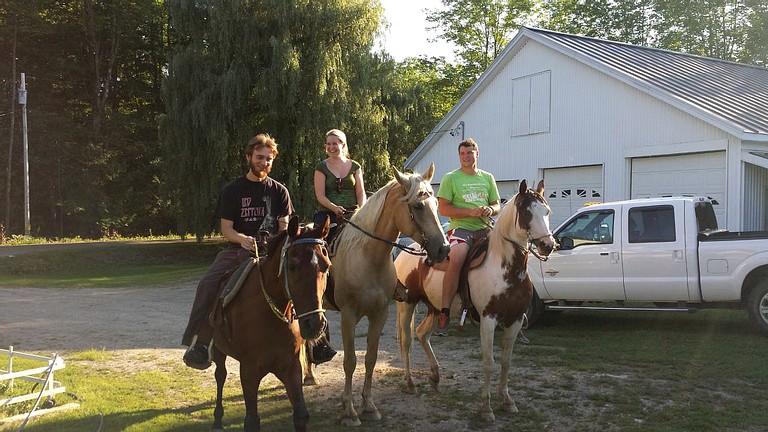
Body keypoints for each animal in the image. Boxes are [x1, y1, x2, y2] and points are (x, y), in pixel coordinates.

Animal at [210, 216, 330, 432]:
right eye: (292, 266)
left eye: (326, 266)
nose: (314, 324)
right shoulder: (249, 371)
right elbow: (251, 421)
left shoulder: (291, 367)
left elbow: (301, 415)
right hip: (218, 349)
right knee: (220, 375)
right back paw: (217, 419)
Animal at [304, 164, 450, 426]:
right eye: (417, 206)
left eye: (435, 203)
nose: (443, 249)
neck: (366, 257)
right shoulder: (348, 315)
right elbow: (350, 361)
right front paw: (349, 411)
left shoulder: (379, 314)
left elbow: (370, 358)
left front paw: (369, 406)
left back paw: (310, 376)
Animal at [392, 179, 556, 422]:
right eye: (527, 212)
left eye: (547, 211)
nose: (548, 246)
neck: (505, 268)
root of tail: (404, 252)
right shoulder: (488, 319)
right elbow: (489, 362)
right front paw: (486, 408)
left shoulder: (515, 320)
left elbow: (506, 362)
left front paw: (507, 401)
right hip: (407, 305)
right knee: (407, 341)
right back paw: (410, 383)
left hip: (435, 308)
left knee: (422, 334)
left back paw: (435, 377)